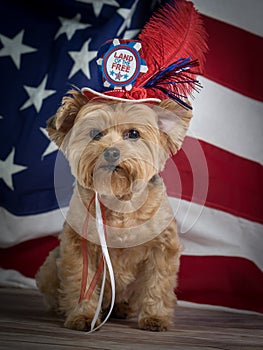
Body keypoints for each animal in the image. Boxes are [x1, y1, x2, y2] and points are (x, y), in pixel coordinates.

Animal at [35, 89, 192, 330]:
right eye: (94, 133)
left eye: (133, 133)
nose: (111, 152)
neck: (120, 199)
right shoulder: (79, 247)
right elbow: (81, 282)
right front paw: (83, 316)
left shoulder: (162, 248)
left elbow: (158, 284)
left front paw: (155, 317)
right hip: (50, 267)